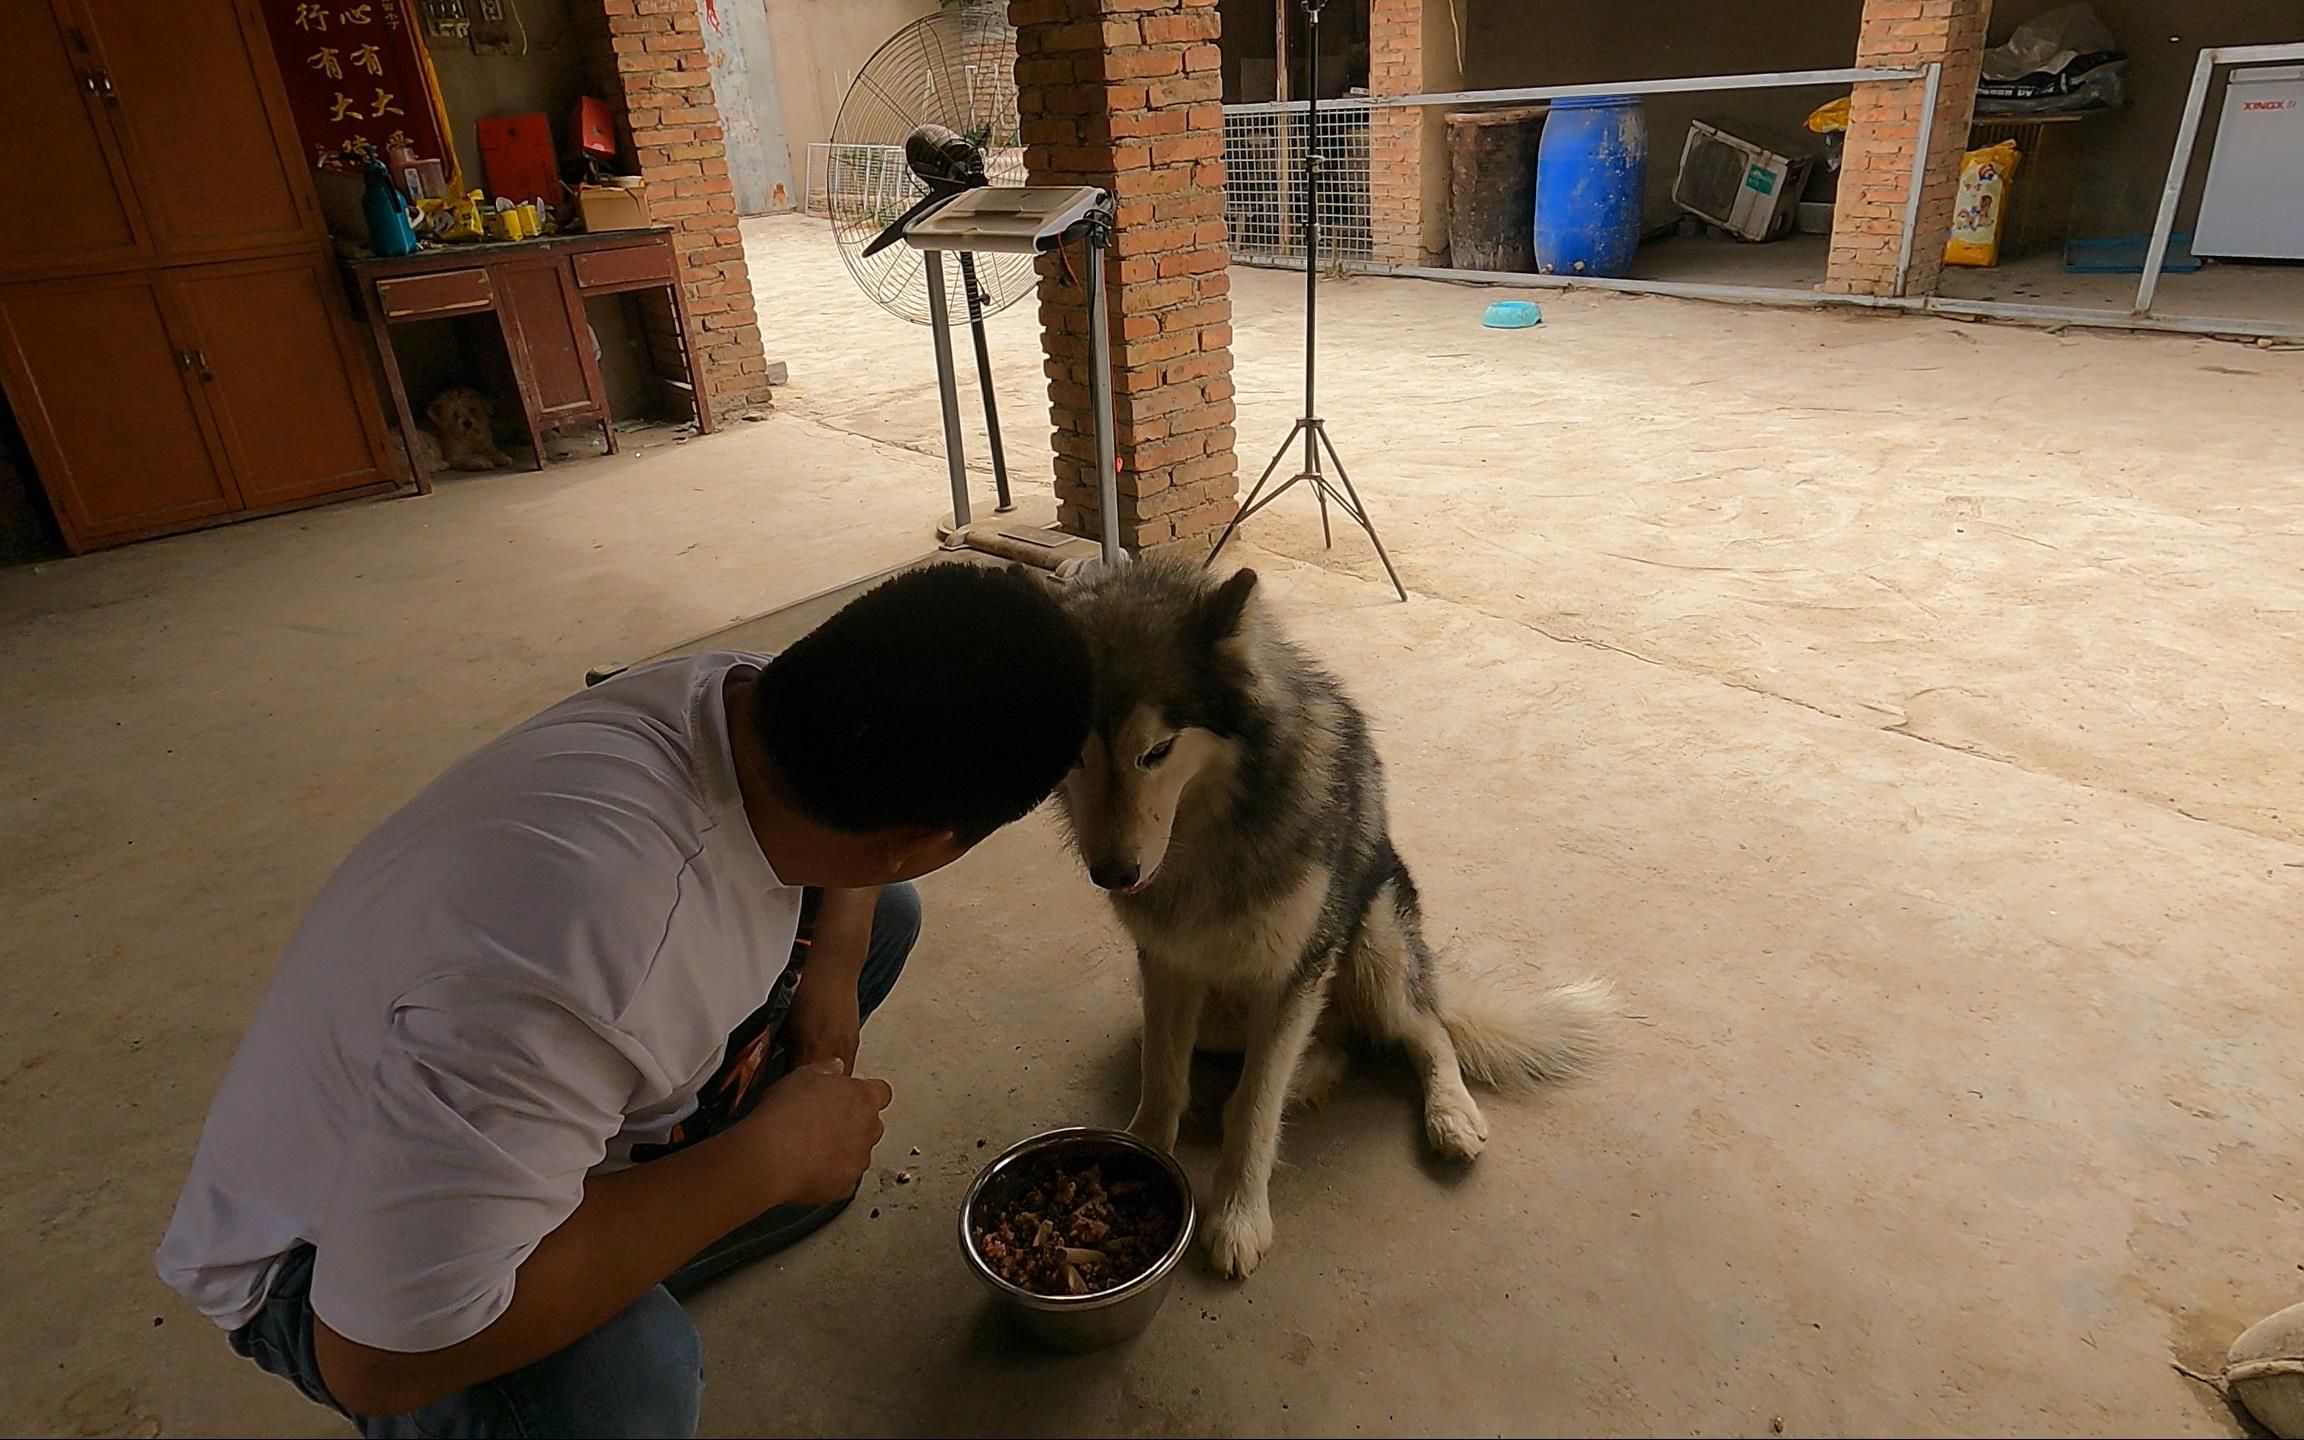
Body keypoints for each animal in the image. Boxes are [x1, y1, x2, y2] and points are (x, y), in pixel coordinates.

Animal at [345, 226, 709, 490]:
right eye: (455, 415)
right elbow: (471, 458)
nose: (467, 422)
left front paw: (501, 456)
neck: (469, 438)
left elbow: (493, 450)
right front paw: (490, 461)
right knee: (428, 463)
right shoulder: (458, 450)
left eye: (472, 411)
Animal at [1055, 555, 1612, 1271]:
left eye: (1156, 752)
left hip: (1372, 937)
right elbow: (1162, 1073)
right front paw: (1143, 1156)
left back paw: (1448, 1112)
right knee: (1333, 1046)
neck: (1209, 833)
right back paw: (1309, 1076)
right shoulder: (1168, 964)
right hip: (1229, 1013)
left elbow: (1255, 1110)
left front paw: (1239, 1217)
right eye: (1076, 756)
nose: (1114, 876)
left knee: (1423, 1030)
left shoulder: (1293, 971)